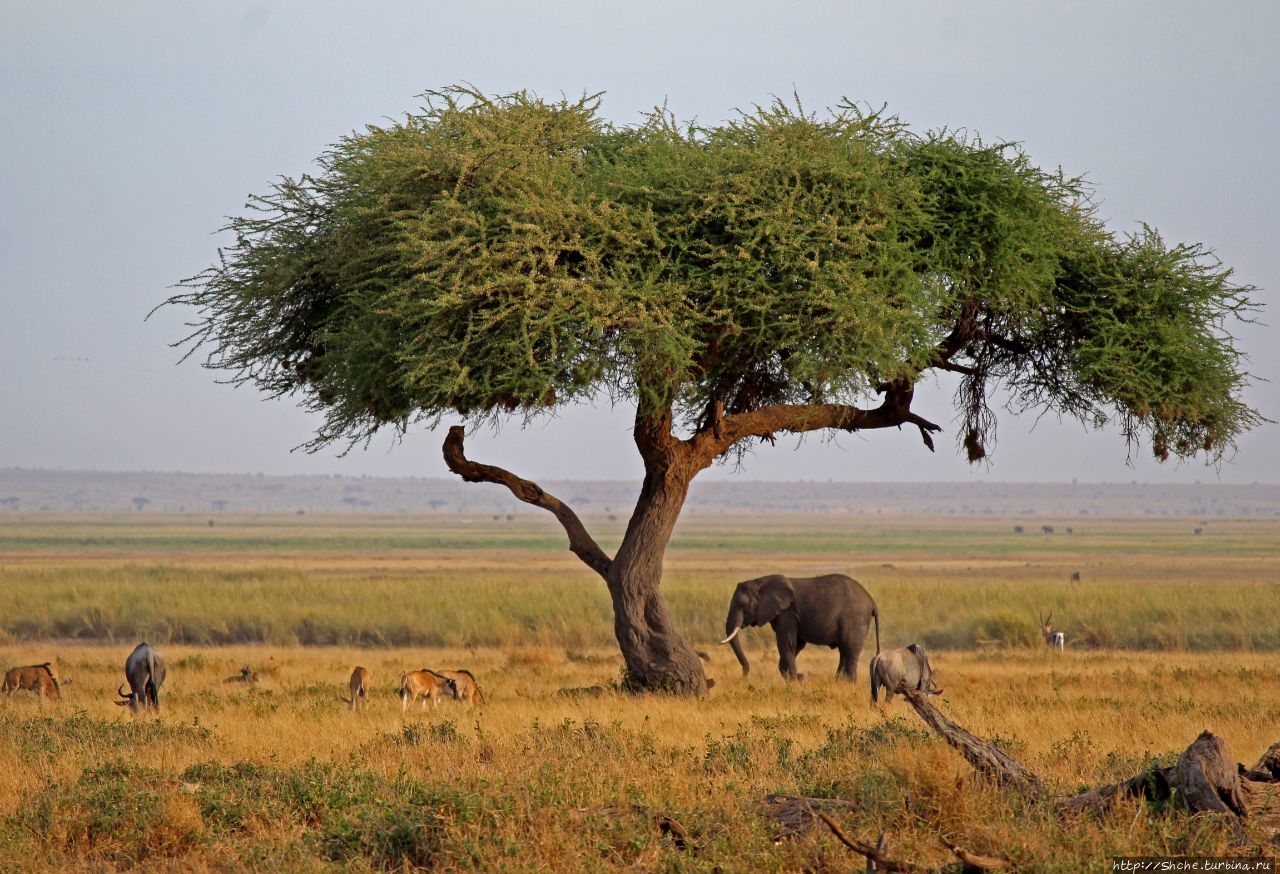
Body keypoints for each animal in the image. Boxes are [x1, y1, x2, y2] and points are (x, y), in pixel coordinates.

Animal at [721, 573, 880, 685]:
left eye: (742, 605)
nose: (744, 675)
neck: (760, 582)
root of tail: (871, 600)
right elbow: (796, 645)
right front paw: (796, 677)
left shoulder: (787, 612)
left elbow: (787, 642)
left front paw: (794, 681)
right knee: (844, 651)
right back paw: (838, 682)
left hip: (855, 619)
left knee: (849, 649)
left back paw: (848, 684)